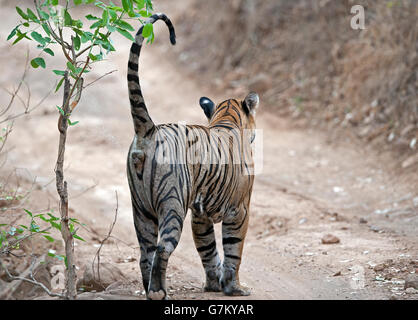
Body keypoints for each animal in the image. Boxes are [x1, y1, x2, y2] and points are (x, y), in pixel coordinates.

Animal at [125, 11, 260, 298]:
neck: (226, 120)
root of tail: (149, 129)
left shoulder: (200, 214)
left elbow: (208, 250)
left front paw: (213, 284)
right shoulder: (240, 210)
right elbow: (234, 251)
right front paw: (234, 288)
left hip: (140, 208)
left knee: (145, 252)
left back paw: (149, 288)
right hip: (172, 202)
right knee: (163, 247)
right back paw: (158, 292)